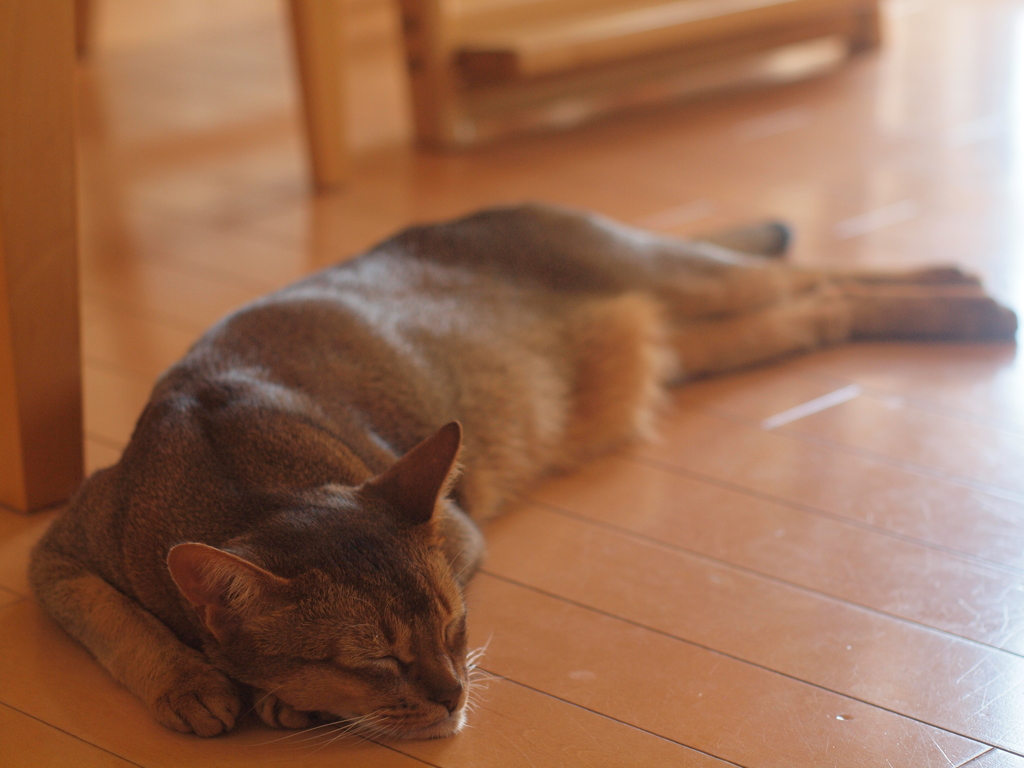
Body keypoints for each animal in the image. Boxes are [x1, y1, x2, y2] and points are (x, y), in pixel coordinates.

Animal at [25, 202, 1015, 741]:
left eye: (457, 625)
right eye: (374, 659)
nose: (456, 693)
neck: (235, 472)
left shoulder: (462, 530)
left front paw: (275, 704)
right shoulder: (57, 551)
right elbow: (112, 619)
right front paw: (190, 682)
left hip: (697, 284)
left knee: (817, 271)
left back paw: (974, 296)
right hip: (718, 336)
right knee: (824, 305)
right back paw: (970, 302)